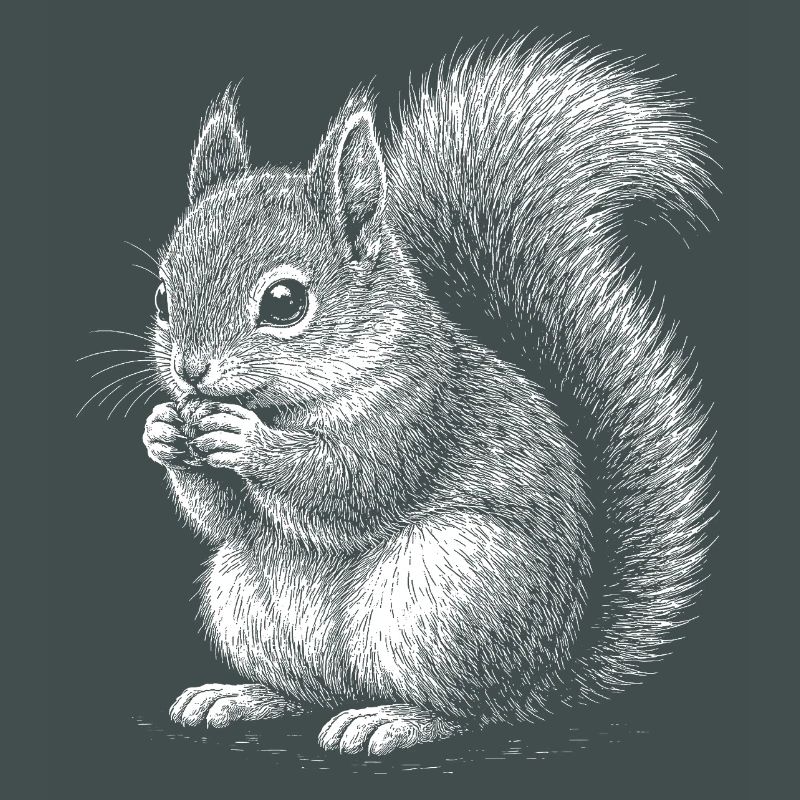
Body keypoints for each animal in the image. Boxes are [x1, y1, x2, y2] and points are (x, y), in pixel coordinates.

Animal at [141, 36, 715, 756]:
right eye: (163, 296)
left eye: (284, 302)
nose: (190, 372)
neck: (292, 400)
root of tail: (547, 682)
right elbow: (226, 520)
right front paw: (164, 431)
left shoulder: (418, 410)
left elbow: (349, 484)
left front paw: (248, 443)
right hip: (245, 600)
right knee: (311, 691)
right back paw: (242, 696)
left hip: (446, 595)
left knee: (471, 711)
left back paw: (392, 719)